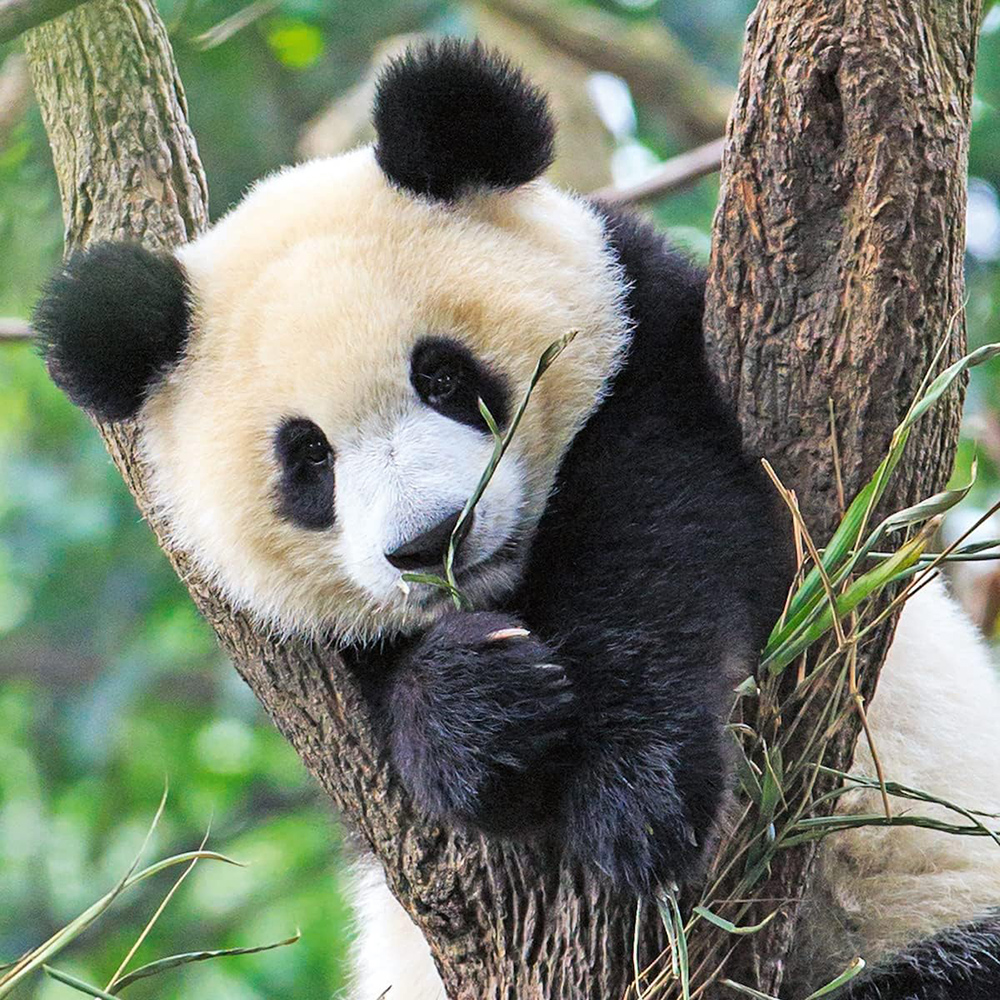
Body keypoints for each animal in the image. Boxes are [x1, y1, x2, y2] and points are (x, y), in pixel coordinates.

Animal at [32, 38, 1000, 1000]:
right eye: (308, 457)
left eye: (444, 376)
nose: (433, 541)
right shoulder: (312, 668)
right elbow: (388, 727)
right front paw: (480, 707)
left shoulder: (655, 351)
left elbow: (671, 540)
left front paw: (637, 798)